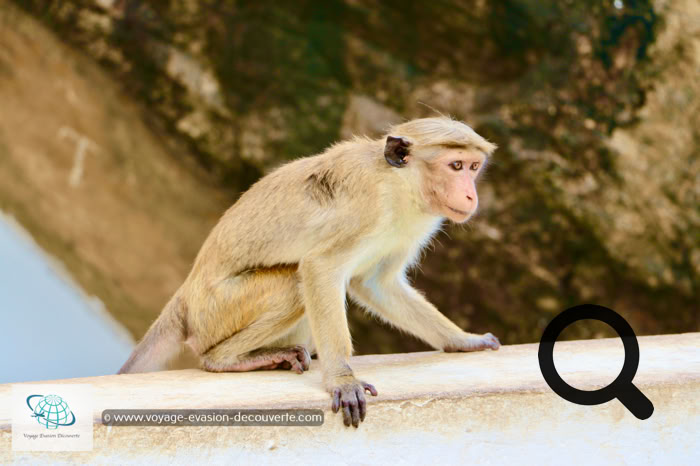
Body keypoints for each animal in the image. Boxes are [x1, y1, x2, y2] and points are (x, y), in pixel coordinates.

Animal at [118, 116, 501, 428]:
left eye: (473, 167)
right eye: (455, 165)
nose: (471, 195)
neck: (399, 184)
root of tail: (184, 298)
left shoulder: (415, 223)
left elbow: (374, 283)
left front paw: (462, 340)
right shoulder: (367, 207)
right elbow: (320, 268)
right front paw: (342, 379)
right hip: (216, 311)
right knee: (293, 285)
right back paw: (223, 359)